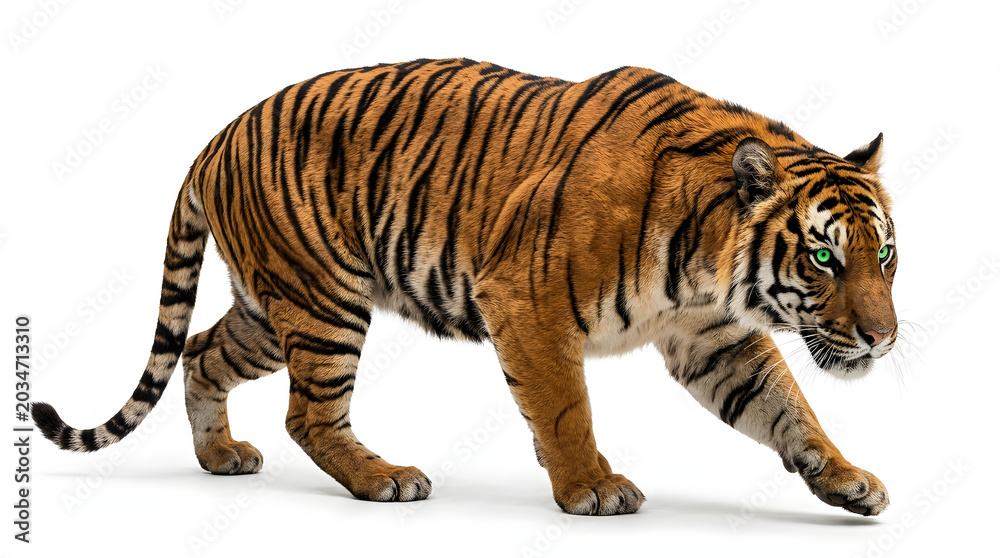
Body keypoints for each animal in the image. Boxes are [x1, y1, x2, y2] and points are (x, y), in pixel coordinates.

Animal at [33, 57, 897, 517]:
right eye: (824, 259)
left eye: (884, 255)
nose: (883, 338)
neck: (708, 264)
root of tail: (216, 136)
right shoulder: (527, 301)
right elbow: (564, 407)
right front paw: (591, 488)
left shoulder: (711, 339)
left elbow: (788, 408)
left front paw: (847, 480)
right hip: (324, 303)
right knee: (309, 416)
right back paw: (383, 479)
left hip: (272, 308)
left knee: (202, 351)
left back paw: (220, 456)